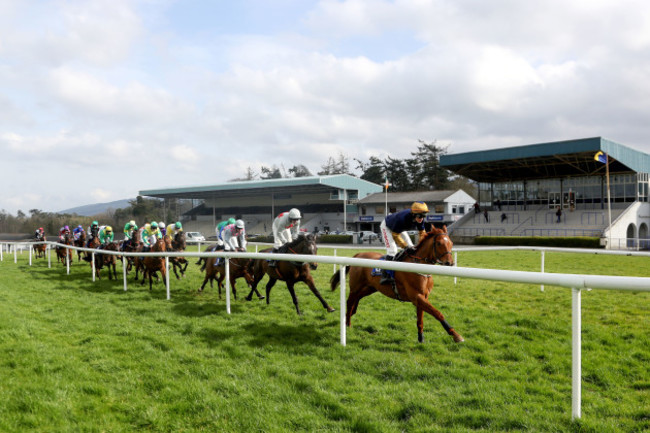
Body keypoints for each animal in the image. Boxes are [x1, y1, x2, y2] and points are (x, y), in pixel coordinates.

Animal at [330, 224, 460, 342]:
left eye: (451, 243)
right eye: (439, 243)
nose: (450, 262)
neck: (418, 265)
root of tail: (357, 255)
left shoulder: (423, 296)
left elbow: (420, 319)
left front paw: (421, 338)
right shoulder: (416, 296)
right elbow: (438, 313)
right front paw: (456, 335)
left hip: (370, 288)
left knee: (356, 300)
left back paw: (350, 315)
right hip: (355, 287)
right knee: (349, 302)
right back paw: (347, 323)